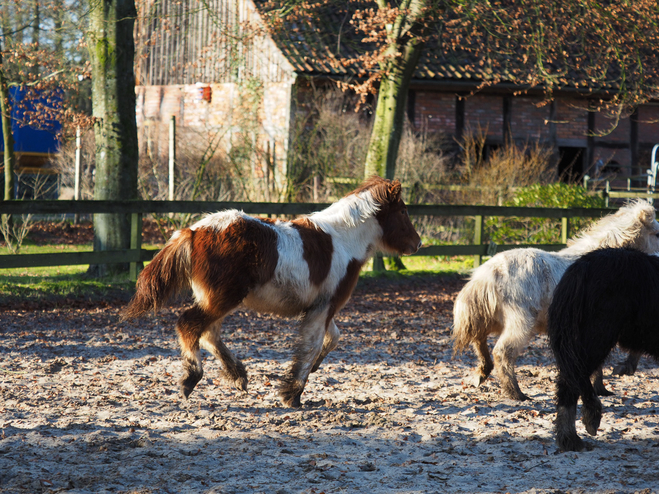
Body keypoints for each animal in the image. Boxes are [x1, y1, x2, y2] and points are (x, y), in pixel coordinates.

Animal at [122, 176, 422, 408]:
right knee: (190, 325)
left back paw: (238, 376)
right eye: (403, 211)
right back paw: (190, 379)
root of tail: (193, 231)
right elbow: (312, 344)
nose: (417, 244)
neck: (344, 241)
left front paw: (311, 371)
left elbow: (332, 338)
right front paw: (292, 395)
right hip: (223, 297)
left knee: (208, 333)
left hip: (215, 297)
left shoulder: (322, 306)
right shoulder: (324, 307)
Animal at [452, 202, 659, 402]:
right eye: (656, 233)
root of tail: (488, 273)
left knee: (479, 342)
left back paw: (481, 376)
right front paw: (616, 374)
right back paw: (516, 394)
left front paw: (600, 388)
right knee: (502, 353)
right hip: (520, 323)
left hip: (489, 320)